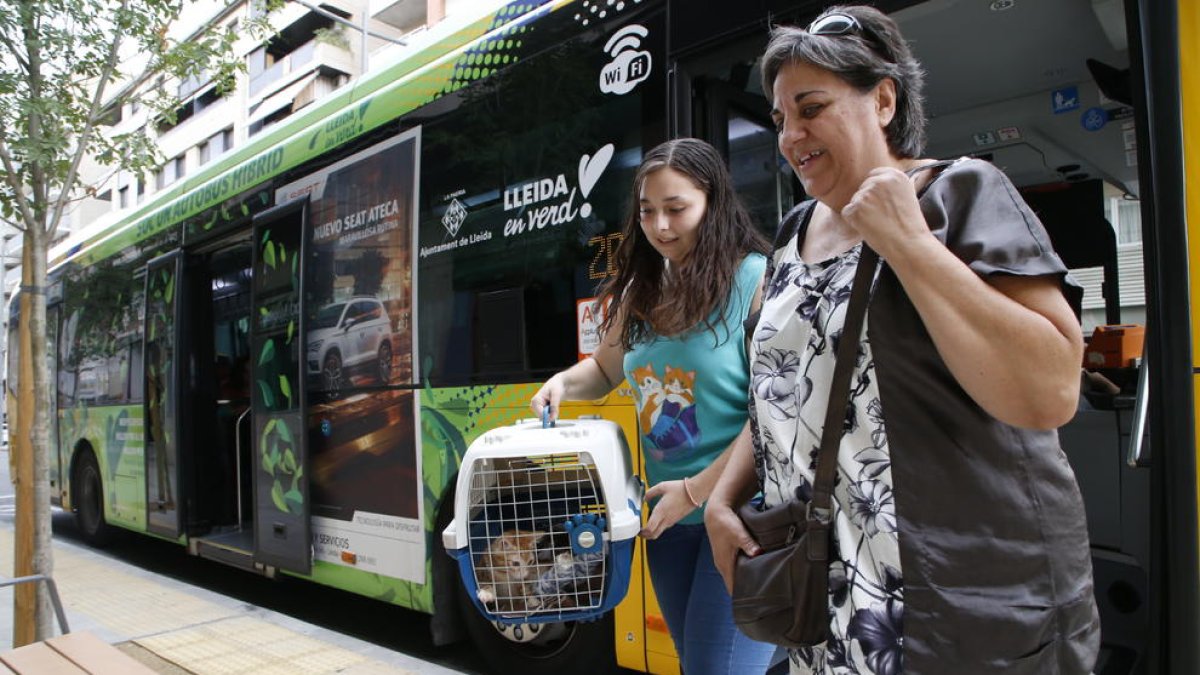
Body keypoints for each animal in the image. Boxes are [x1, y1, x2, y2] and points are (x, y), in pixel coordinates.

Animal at [444, 417, 648, 624]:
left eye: (531, 562)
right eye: (515, 563)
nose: (524, 575)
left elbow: (529, 591)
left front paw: (530, 596)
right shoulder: (483, 568)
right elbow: (488, 585)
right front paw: (486, 593)